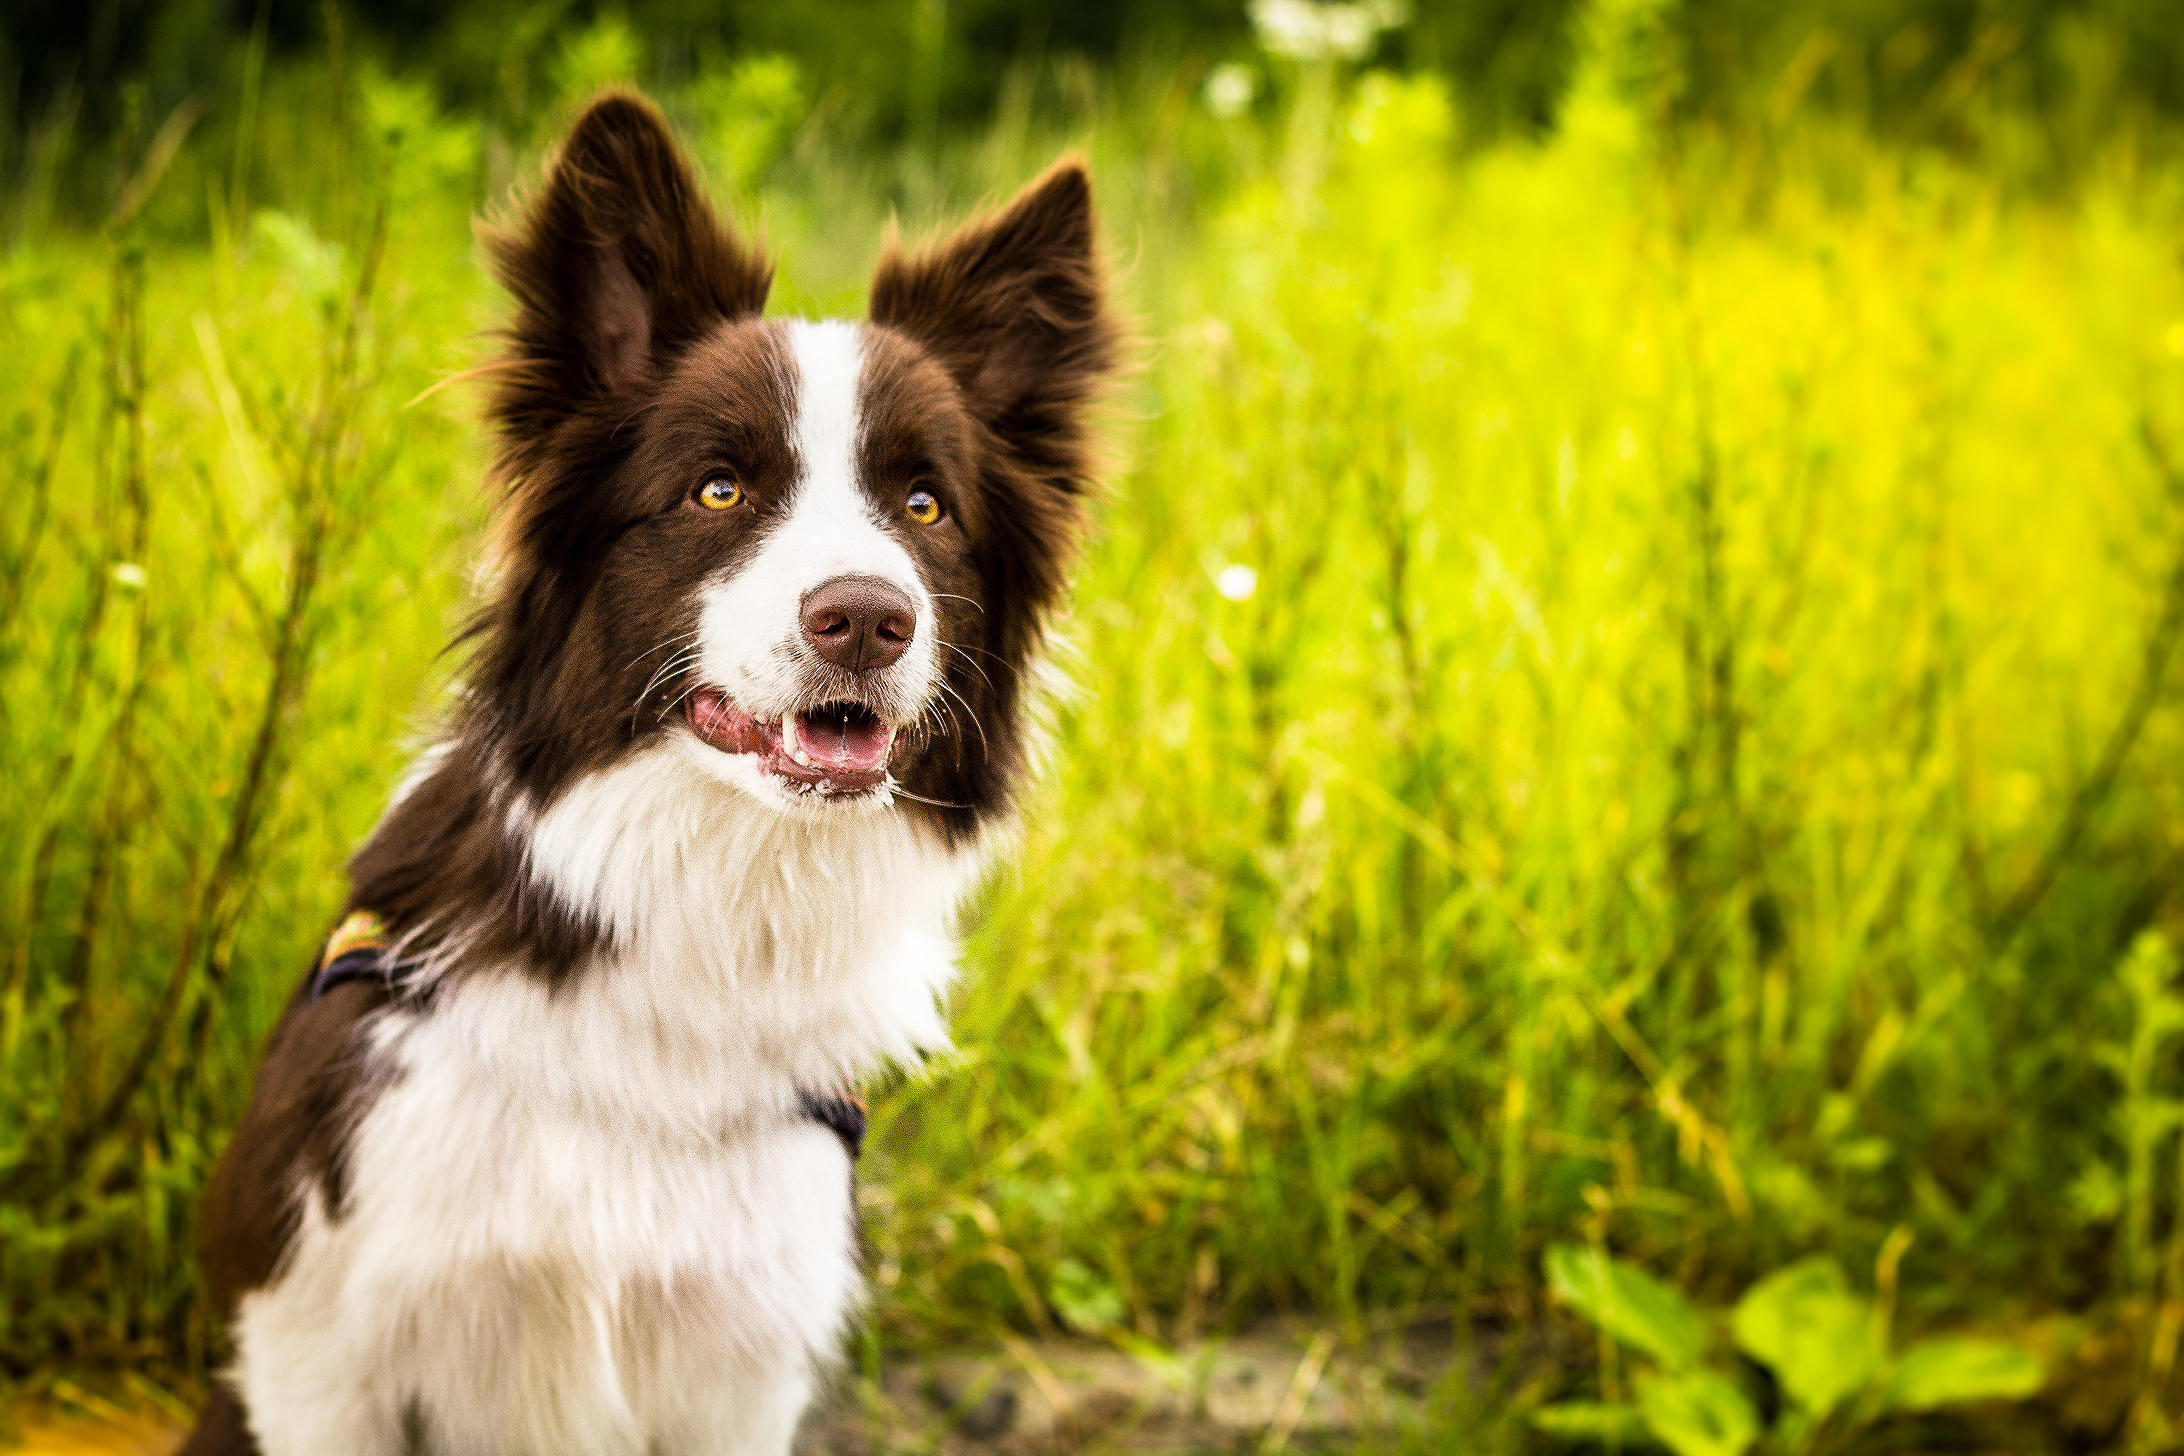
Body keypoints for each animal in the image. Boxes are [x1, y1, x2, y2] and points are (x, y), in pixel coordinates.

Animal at [179, 93, 1118, 1456]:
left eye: (925, 507)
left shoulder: (741, 1365)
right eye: (718, 488)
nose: (867, 618)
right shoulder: (316, 1335)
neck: (708, 922)